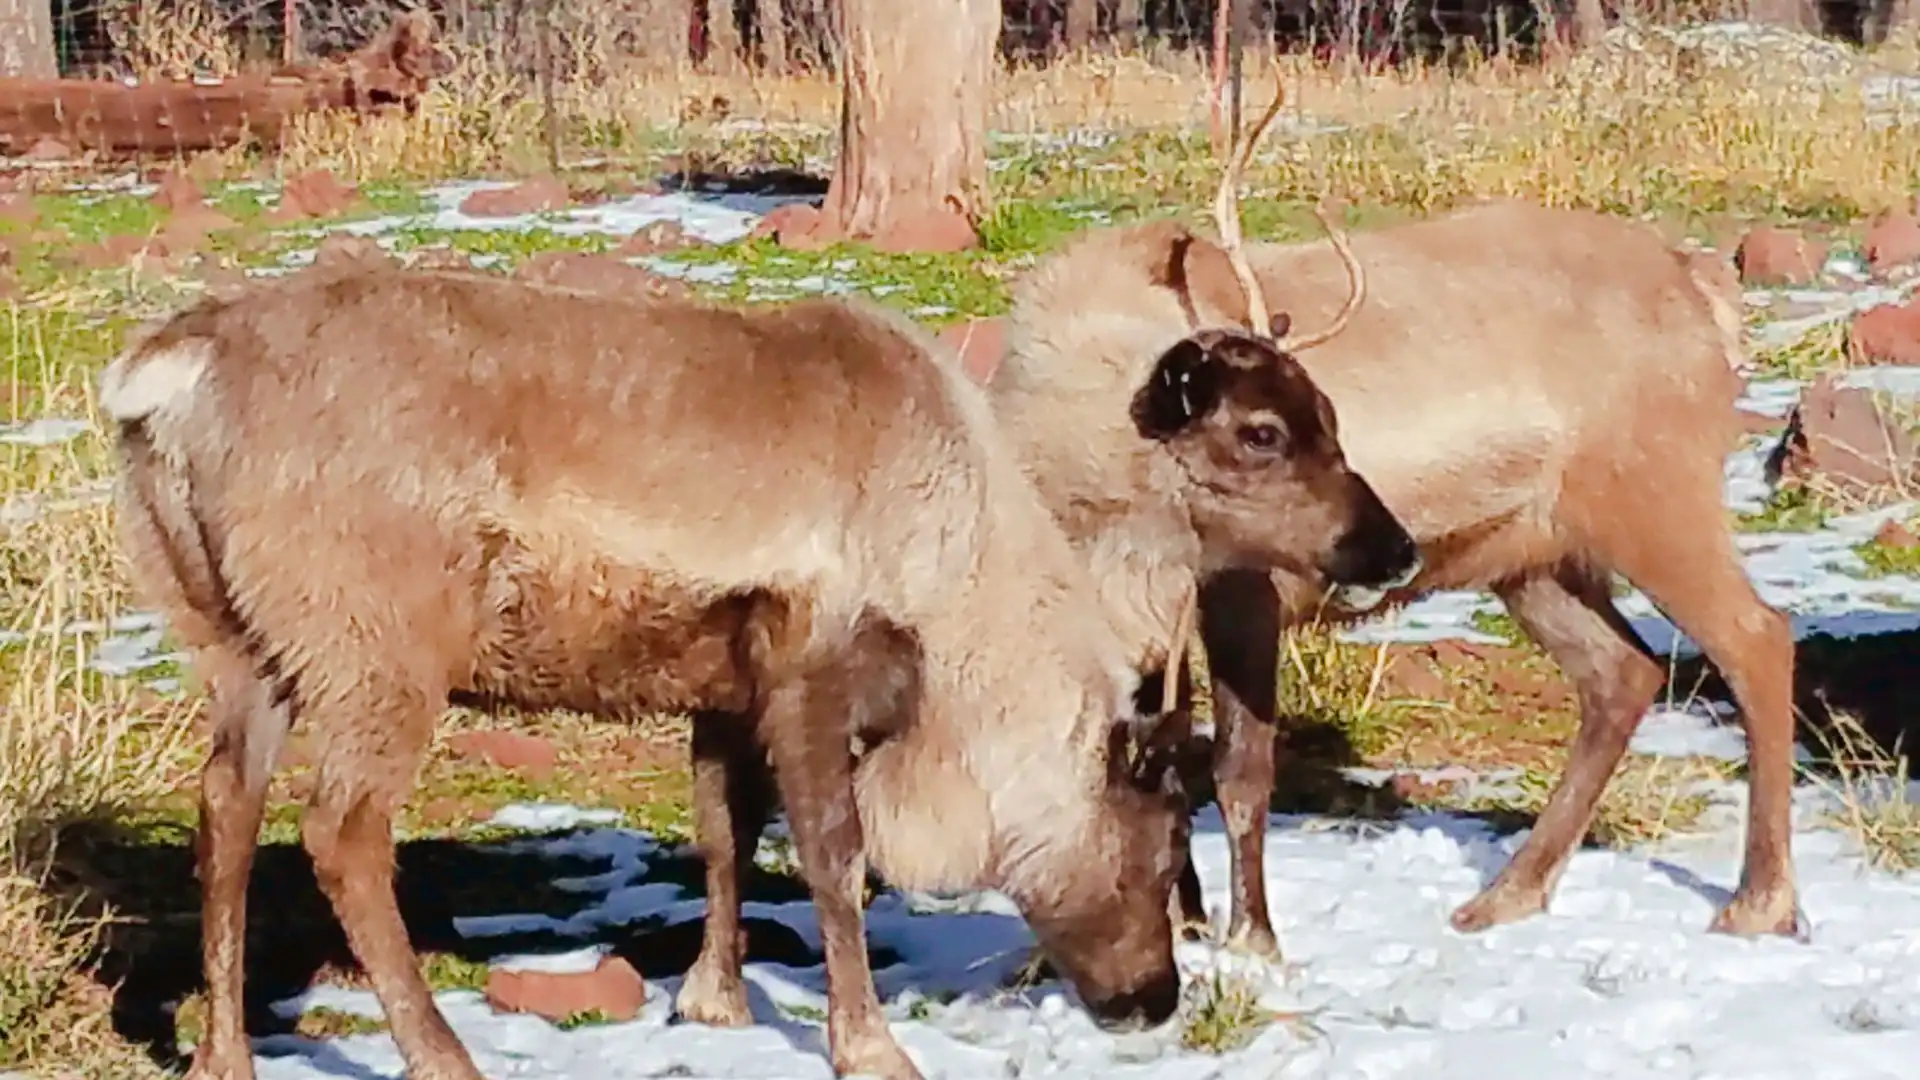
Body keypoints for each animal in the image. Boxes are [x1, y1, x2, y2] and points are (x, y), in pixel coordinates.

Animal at [98, 251, 1419, 1080]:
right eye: (1150, 852)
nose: (1151, 1002)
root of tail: (160, 384)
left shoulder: (718, 682)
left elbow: (722, 835)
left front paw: (714, 999)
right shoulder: (811, 658)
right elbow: (834, 858)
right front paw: (869, 1044)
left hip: (238, 643)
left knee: (223, 810)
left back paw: (222, 1056)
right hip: (374, 644)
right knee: (340, 830)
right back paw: (443, 1055)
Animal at [984, 65, 1799, 961]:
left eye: (1330, 417)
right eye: (1262, 431)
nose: (1397, 550)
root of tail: (1705, 296)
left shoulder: (1239, 584)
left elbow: (1239, 769)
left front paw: (1253, 939)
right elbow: (1152, 765)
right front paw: (1182, 922)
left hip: (1656, 491)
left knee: (1756, 638)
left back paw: (1760, 901)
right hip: (1531, 553)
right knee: (1624, 673)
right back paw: (1507, 894)